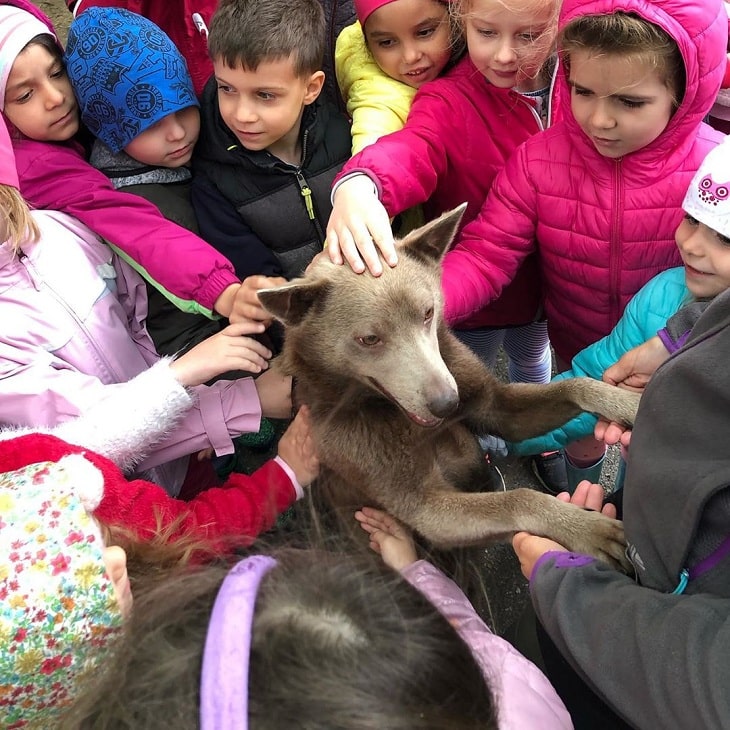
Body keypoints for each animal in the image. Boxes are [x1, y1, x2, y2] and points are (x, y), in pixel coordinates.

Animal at [260, 205, 636, 568]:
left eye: (428, 313)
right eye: (369, 339)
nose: (447, 403)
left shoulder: (496, 404)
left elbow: (575, 385)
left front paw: (627, 402)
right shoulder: (421, 504)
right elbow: (516, 499)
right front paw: (588, 529)